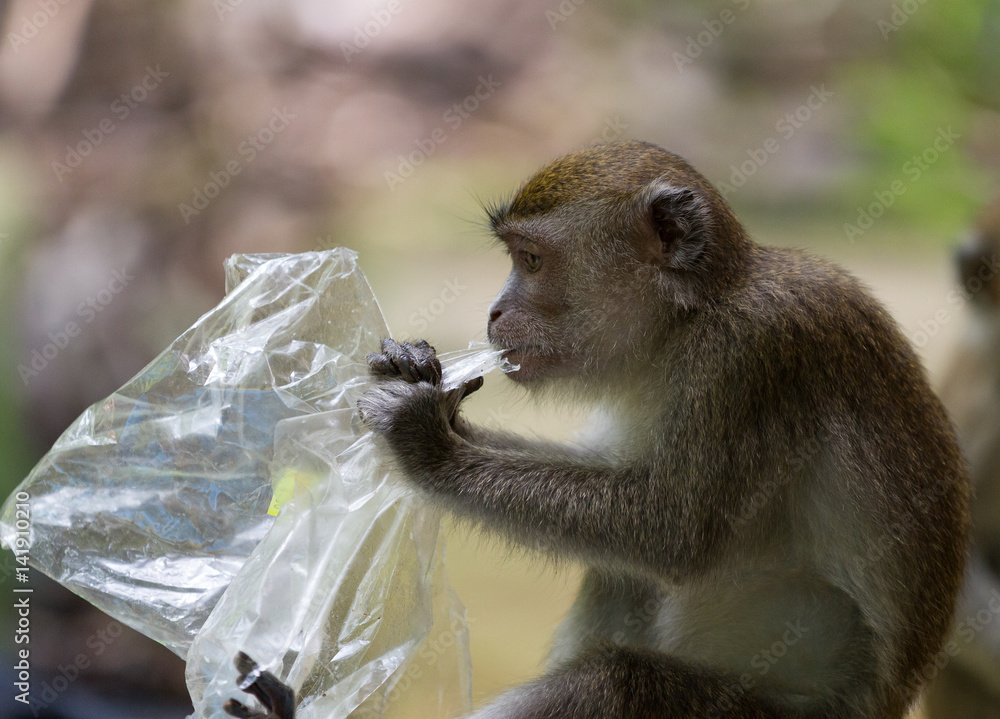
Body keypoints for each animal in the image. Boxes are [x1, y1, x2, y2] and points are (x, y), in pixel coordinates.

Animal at [226, 141, 969, 719]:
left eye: (530, 259)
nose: (494, 312)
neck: (690, 316)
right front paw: (418, 376)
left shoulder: (751, 358)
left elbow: (672, 531)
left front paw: (427, 446)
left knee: (618, 681)